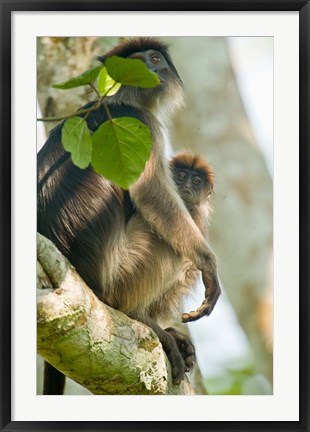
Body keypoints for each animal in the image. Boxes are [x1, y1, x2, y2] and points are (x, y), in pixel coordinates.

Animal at [38, 38, 220, 394]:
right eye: (137, 62)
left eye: (155, 60)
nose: (149, 69)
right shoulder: (142, 124)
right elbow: (153, 196)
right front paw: (209, 264)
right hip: (122, 274)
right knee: (170, 234)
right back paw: (142, 317)